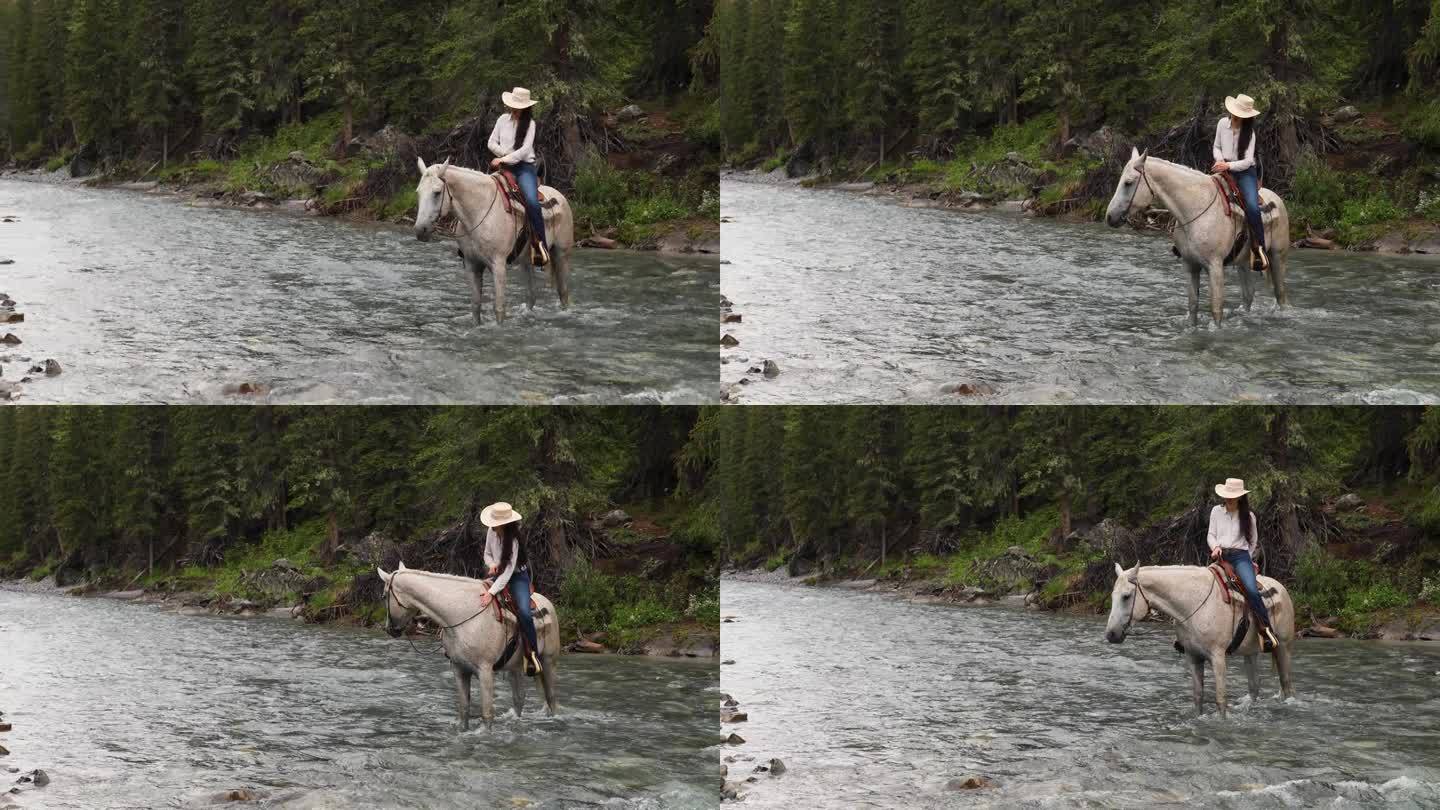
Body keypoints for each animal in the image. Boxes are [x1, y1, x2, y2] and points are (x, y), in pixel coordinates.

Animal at [380, 562, 558, 726]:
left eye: (384, 595)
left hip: (547, 661)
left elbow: (487, 714)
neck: (461, 613)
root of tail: (548, 602)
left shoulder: (485, 671)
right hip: (515, 668)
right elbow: (464, 711)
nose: (390, 629)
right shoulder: (459, 670)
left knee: (551, 698)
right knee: (519, 699)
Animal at [411, 156, 573, 322]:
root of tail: (561, 196)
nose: (420, 230)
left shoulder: (498, 265)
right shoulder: (472, 265)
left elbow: (499, 309)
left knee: (563, 292)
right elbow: (476, 306)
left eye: (437, 192)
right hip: (526, 261)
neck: (480, 211)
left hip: (561, 254)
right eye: (418, 192)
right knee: (531, 295)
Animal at [1100, 148, 1296, 324]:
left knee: (1281, 295)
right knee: (1248, 295)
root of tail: (1277, 198)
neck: (1196, 208)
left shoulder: (1215, 267)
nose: (1110, 217)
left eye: (1128, 182)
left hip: (1277, 257)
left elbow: (1216, 309)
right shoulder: (1190, 265)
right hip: (1243, 263)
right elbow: (1193, 306)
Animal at [1105, 562, 1301, 711]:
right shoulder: (1193, 657)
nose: (1111, 634)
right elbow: (1198, 698)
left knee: (1287, 686)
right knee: (1254, 687)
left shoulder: (1218, 657)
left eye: (1126, 596)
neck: (1193, 603)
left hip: (1283, 647)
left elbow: (1221, 700)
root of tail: (1282, 587)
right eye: (1113, 596)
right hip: (1250, 652)